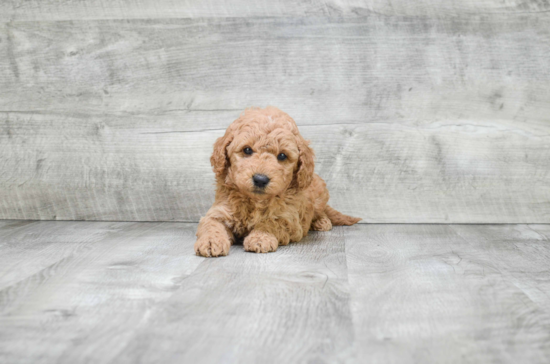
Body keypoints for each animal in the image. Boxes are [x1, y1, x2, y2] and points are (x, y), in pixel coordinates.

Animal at [194, 106, 362, 258]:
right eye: (247, 150)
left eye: (282, 156)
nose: (260, 179)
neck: (255, 201)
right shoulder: (219, 211)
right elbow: (211, 224)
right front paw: (211, 241)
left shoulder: (289, 219)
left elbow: (271, 223)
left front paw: (260, 237)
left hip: (320, 193)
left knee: (320, 211)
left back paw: (322, 222)